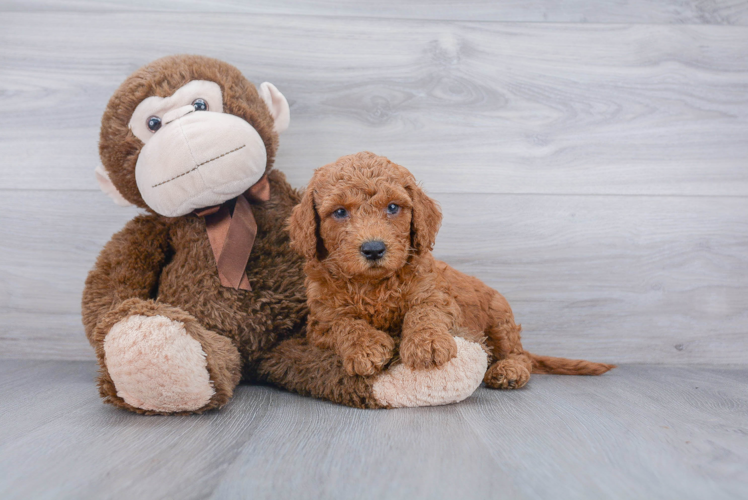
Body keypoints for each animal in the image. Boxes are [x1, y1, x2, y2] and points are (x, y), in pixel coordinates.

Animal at [288, 150, 612, 388]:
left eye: (393, 207)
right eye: (340, 212)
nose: (374, 249)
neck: (374, 284)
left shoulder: (438, 296)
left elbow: (423, 312)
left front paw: (427, 344)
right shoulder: (320, 320)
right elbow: (345, 323)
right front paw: (366, 348)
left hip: (500, 317)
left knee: (520, 355)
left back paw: (509, 371)